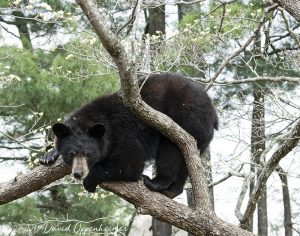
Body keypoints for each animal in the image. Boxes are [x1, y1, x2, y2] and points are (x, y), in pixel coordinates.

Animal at [39, 73, 218, 197]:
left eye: (89, 154)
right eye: (71, 153)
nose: (78, 173)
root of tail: (212, 110)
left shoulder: (124, 134)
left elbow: (130, 164)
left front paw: (90, 179)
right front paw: (49, 155)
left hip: (186, 121)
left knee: (170, 150)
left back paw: (156, 182)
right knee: (187, 161)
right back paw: (172, 190)